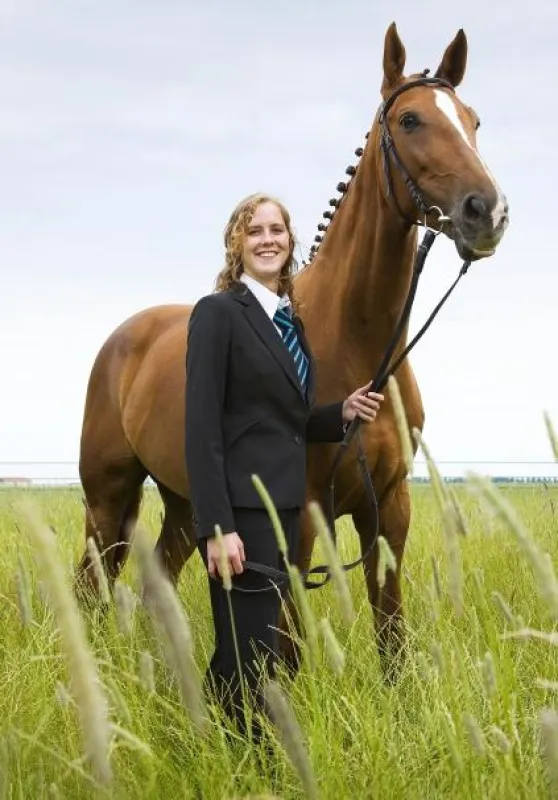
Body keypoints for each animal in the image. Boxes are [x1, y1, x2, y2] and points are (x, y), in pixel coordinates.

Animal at [76, 23, 508, 673]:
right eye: (409, 120)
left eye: (474, 120)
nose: (488, 212)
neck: (359, 343)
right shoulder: (300, 517)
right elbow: (288, 644)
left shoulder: (390, 508)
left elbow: (391, 635)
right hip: (108, 499)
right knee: (90, 585)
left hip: (185, 502)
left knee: (159, 580)